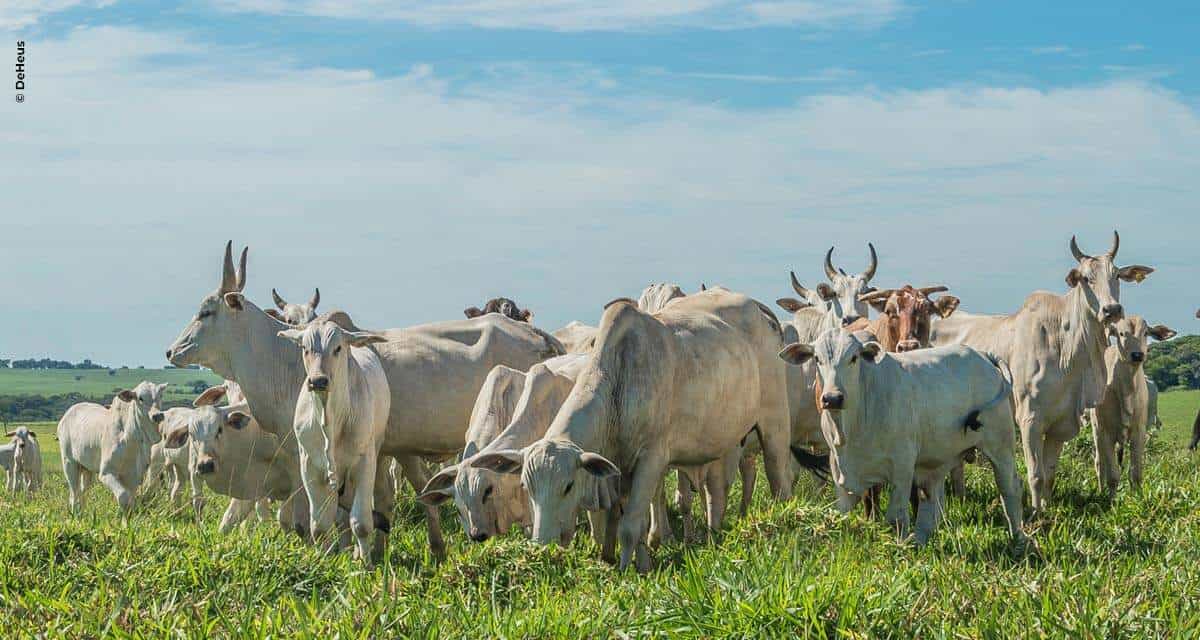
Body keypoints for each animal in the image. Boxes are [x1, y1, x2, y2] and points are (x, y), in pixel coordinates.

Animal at [279, 321, 388, 566]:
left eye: (337, 348)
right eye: (305, 348)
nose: (318, 381)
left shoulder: (364, 462)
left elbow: (362, 523)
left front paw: (366, 564)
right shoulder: (309, 466)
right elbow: (320, 526)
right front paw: (325, 560)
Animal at [782, 329, 1027, 545]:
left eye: (853, 358)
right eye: (817, 359)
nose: (832, 398)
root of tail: (983, 355)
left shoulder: (902, 467)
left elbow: (897, 517)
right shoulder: (841, 473)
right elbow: (843, 516)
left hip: (1001, 446)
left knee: (1010, 489)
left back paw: (1019, 539)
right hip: (936, 460)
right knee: (932, 503)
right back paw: (921, 540)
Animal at [1089, 316, 1171, 497]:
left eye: (1146, 332)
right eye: (1121, 333)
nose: (1137, 355)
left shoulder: (1139, 431)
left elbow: (1136, 473)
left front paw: (1137, 497)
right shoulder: (1105, 432)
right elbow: (1112, 475)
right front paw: (1111, 500)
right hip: (1096, 429)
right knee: (1100, 464)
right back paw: (1101, 490)